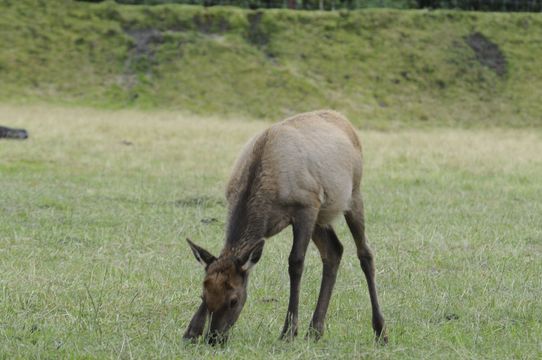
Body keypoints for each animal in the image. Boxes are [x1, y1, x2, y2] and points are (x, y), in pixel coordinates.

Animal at [186, 110, 386, 346]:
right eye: (203, 296)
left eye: (234, 300)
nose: (214, 338)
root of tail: (344, 121)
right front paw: (190, 331)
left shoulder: (306, 207)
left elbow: (295, 263)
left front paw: (288, 332)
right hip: (321, 216)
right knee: (334, 250)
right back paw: (315, 330)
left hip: (353, 195)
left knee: (365, 253)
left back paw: (380, 330)